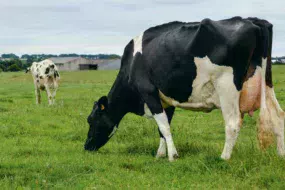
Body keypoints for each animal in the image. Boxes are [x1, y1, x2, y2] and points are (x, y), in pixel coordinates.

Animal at [84, 17, 284, 161]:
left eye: (92, 120)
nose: (86, 147)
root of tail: (253, 21)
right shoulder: (166, 100)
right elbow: (163, 128)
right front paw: (160, 154)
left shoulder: (149, 92)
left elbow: (164, 126)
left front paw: (172, 156)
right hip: (266, 82)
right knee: (278, 117)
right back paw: (281, 155)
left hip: (227, 85)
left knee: (233, 123)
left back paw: (224, 158)